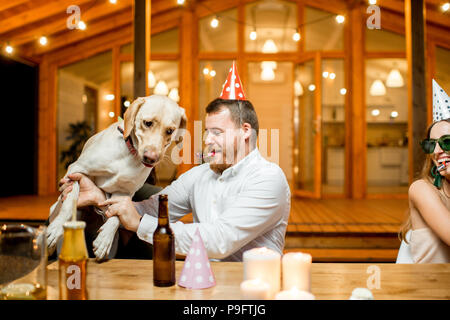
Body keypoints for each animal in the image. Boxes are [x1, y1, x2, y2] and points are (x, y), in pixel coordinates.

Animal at [45, 94, 186, 260]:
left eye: (170, 131)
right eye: (147, 123)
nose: (151, 158)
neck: (130, 154)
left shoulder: (125, 193)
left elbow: (117, 215)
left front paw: (105, 238)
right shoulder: (76, 171)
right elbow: (70, 201)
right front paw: (56, 228)